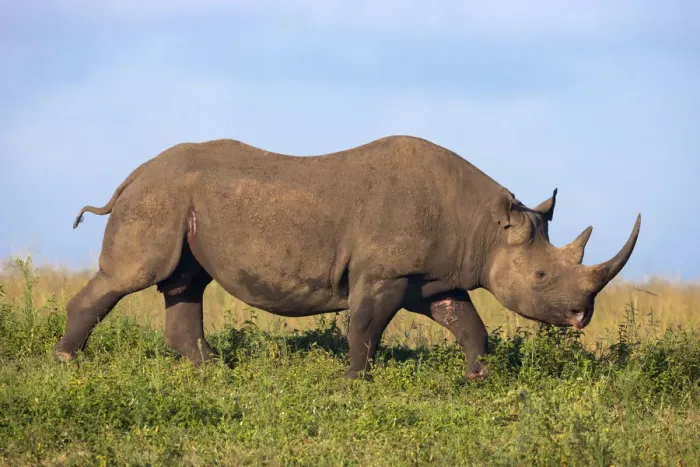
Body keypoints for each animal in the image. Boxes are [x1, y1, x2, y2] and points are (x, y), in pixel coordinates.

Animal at [55, 135, 640, 380]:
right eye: (541, 275)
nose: (582, 317)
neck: (482, 225)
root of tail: (133, 174)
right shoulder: (384, 272)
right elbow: (365, 326)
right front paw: (355, 383)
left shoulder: (433, 277)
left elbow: (469, 324)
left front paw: (478, 378)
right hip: (158, 198)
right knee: (131, 276)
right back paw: (66, 362)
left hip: (178, 201)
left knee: (185, 282)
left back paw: (213, 372)